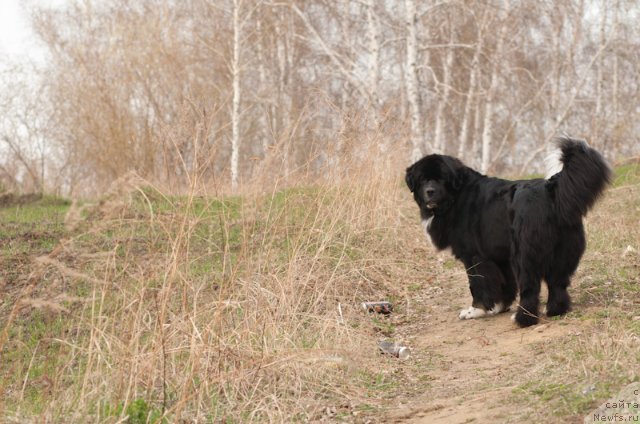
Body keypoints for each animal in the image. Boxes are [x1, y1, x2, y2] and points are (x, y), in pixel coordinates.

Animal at [408, 137, 612, 326]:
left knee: (530, 287)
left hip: (524, 254)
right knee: (558, 284)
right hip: (563, 250)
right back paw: (555, 311)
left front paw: (475, 311)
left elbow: (477, 284)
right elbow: (504, 283)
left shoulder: (474, 256)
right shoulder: (498, 255)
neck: (456, 196)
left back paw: (523, 318)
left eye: (441, 179)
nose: (430, 191)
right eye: (423, 179)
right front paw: (500, 306)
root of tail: (549, 189)